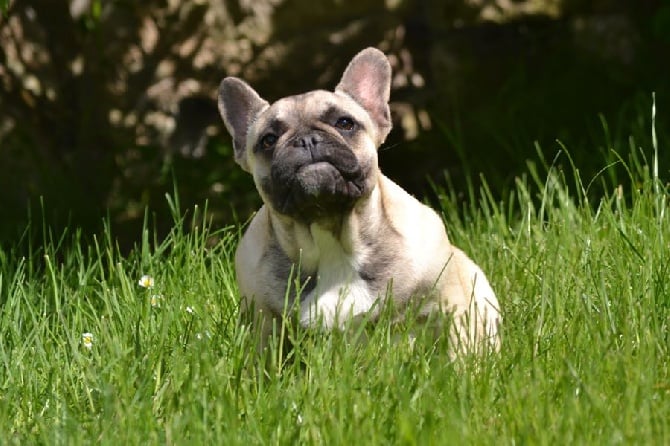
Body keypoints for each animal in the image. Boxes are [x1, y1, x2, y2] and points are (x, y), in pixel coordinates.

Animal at [218, 48, 502, 356]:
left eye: (345, 123)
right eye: (268, 140)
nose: (306, 139)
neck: (329, 235)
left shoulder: (449, 305)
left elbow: (458, 351)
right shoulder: (264, 323)